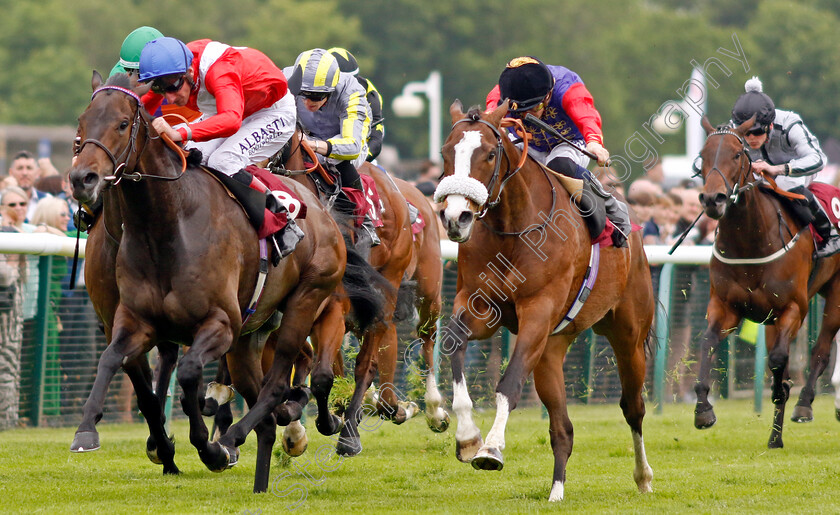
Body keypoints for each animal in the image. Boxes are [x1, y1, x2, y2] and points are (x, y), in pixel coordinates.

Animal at [66, 73, 352, 492]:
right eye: (82, 124)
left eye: (122, 123)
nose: (81, 179)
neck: (166, 227)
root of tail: (318, 207)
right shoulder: (132, 322)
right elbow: (113, 361)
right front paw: (87, 430)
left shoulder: (219, 323)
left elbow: (188, 375)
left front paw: (209, 447)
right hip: (249, 337)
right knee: (265, 409)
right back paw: (259, 477)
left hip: (306, 300)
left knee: (281, 380)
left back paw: (236, 439)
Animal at [436, 102, 652, 504]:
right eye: (445, 152)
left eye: (489, 154)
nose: (456, 217)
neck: (513, 226)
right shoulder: (479, 306)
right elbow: (455, 343)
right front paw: (468, 437)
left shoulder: (538, 311)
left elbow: (508, 382)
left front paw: (491, 448)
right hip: (551, 350)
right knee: (562, 428)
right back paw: (556, 491)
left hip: (628, 336)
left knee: (633, 408)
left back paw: (643, 476)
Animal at [692, 117, 840, 448]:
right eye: (702, 156)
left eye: (737, 154)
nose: (713, 199)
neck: (751, 241)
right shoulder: (726, 307)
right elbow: (707, 343)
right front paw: (703, 409)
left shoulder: (793, 309)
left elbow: (779, 360)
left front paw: (784, 392)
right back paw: (775, 437)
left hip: (836, 294)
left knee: (821, 350)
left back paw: (804, 404)